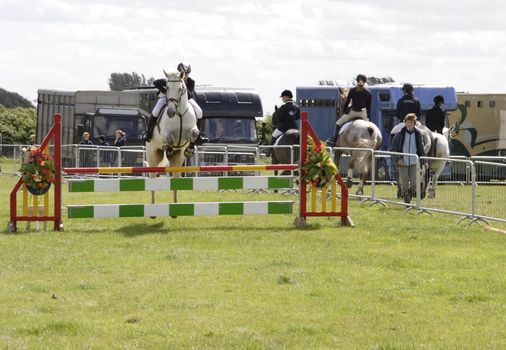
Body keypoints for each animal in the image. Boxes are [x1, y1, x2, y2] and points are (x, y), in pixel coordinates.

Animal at [145, 70, 199, 204]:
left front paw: (190, 149)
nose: (170, 112)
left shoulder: (192, 130)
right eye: (167, 87)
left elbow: (194, 134)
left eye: (181, 89)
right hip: (152, 155)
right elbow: (169, 138)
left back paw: (175, 203)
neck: (179, 114)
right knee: (152, 178)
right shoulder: (165, 133)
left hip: (178, 158)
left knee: (175, 178)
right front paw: (168, 147)